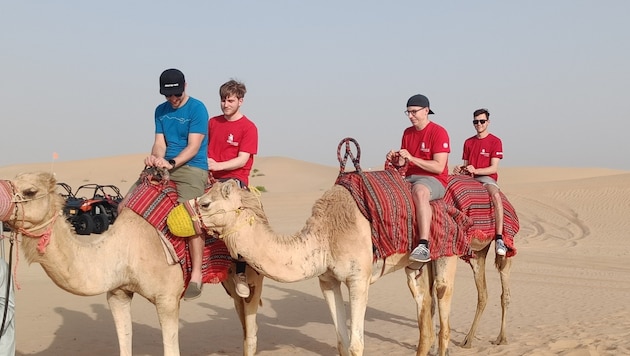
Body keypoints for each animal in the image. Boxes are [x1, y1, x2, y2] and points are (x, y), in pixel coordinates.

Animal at [0, 171, 266, 354]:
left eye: (30, 191)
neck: (124, 249)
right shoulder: (118, 294)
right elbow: (124, 344)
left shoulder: (167, 299)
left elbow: (171, 349)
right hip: (229, 281)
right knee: (244, 322)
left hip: (253, 269)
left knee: (252, 326)